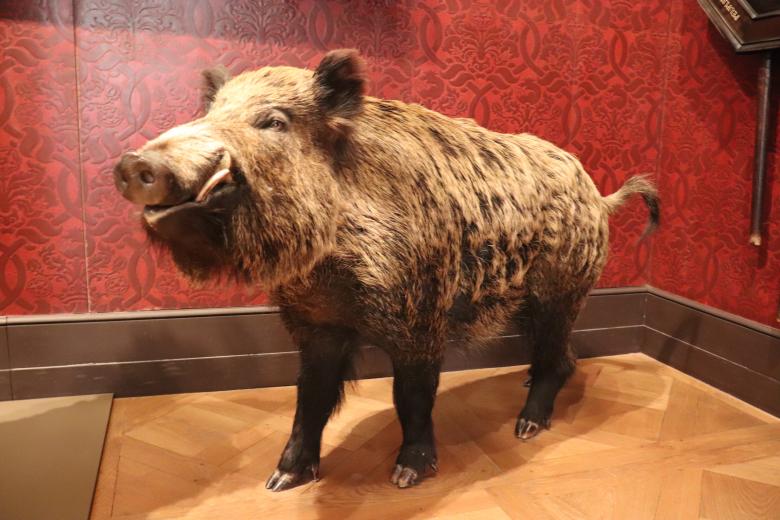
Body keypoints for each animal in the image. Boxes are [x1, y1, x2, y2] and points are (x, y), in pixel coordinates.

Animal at [114, 49, 659, 491]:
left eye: (273, 122)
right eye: (211, 113)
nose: (133, 163)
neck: (328, 272)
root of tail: (600, 198)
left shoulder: (421, 315)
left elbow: (410, 395)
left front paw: (407, 476)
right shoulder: (314, 325)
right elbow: (309, 396)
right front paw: (280, 481)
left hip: (561, 290)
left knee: (556, 357)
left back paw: (526, 427)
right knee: (558, 355)